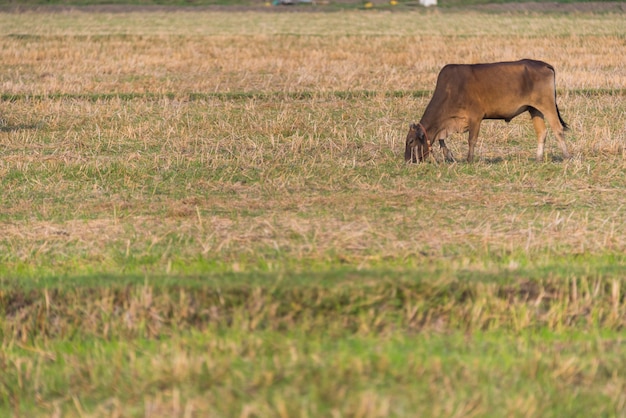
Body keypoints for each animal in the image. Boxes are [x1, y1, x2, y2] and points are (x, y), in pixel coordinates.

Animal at [404, 59, 572, 163]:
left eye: (411, 141)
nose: (407, 161)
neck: (450, 89)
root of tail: (544, 65)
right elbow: (441, 139)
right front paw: (449, 155)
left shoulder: (475, 117)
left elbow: (471, 139)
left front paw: (469, 160)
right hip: (534, 109)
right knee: (542, 132)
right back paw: (538, 158)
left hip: (547, 105)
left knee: (558, 129)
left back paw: (567, 157)